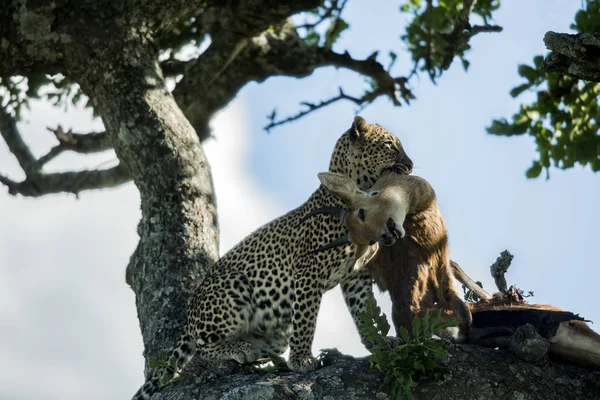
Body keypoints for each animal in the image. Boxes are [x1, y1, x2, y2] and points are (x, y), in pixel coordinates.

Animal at [131, 115, 412, 400]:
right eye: (389, 145)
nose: (410, 166)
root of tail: (189, 315)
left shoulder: (356, 276)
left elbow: (363, 310)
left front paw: (377, 342)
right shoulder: (309, 271)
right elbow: (306, 320)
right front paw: (301, 360)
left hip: (275, 334)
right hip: (233, 286)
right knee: (201, 347)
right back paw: (239, 349)